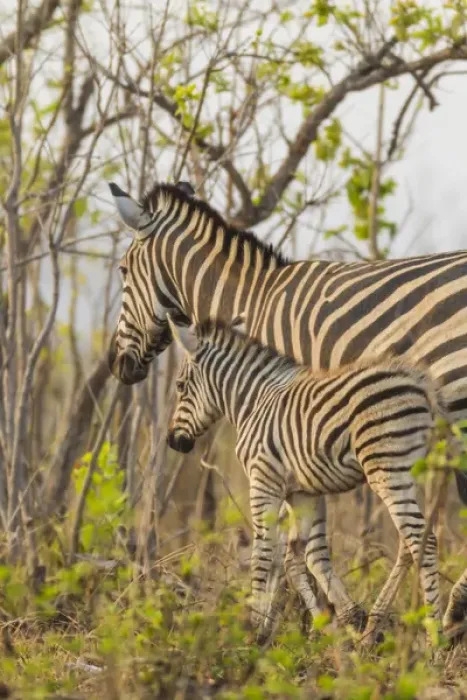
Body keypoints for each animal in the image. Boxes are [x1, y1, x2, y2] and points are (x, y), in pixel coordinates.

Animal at [165, 316, 453, 642]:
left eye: (179, 386)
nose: (173, 442)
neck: (253, 403)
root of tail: (421, 382)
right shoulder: (301, 492)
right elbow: (296, 557)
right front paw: (328, 628)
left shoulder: (263, 480)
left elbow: (264, 553)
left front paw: (253, 630)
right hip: (411, 472)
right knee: (410, 541)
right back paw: (374, 627)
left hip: (387, 468)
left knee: (421, 540)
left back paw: (434, 636)